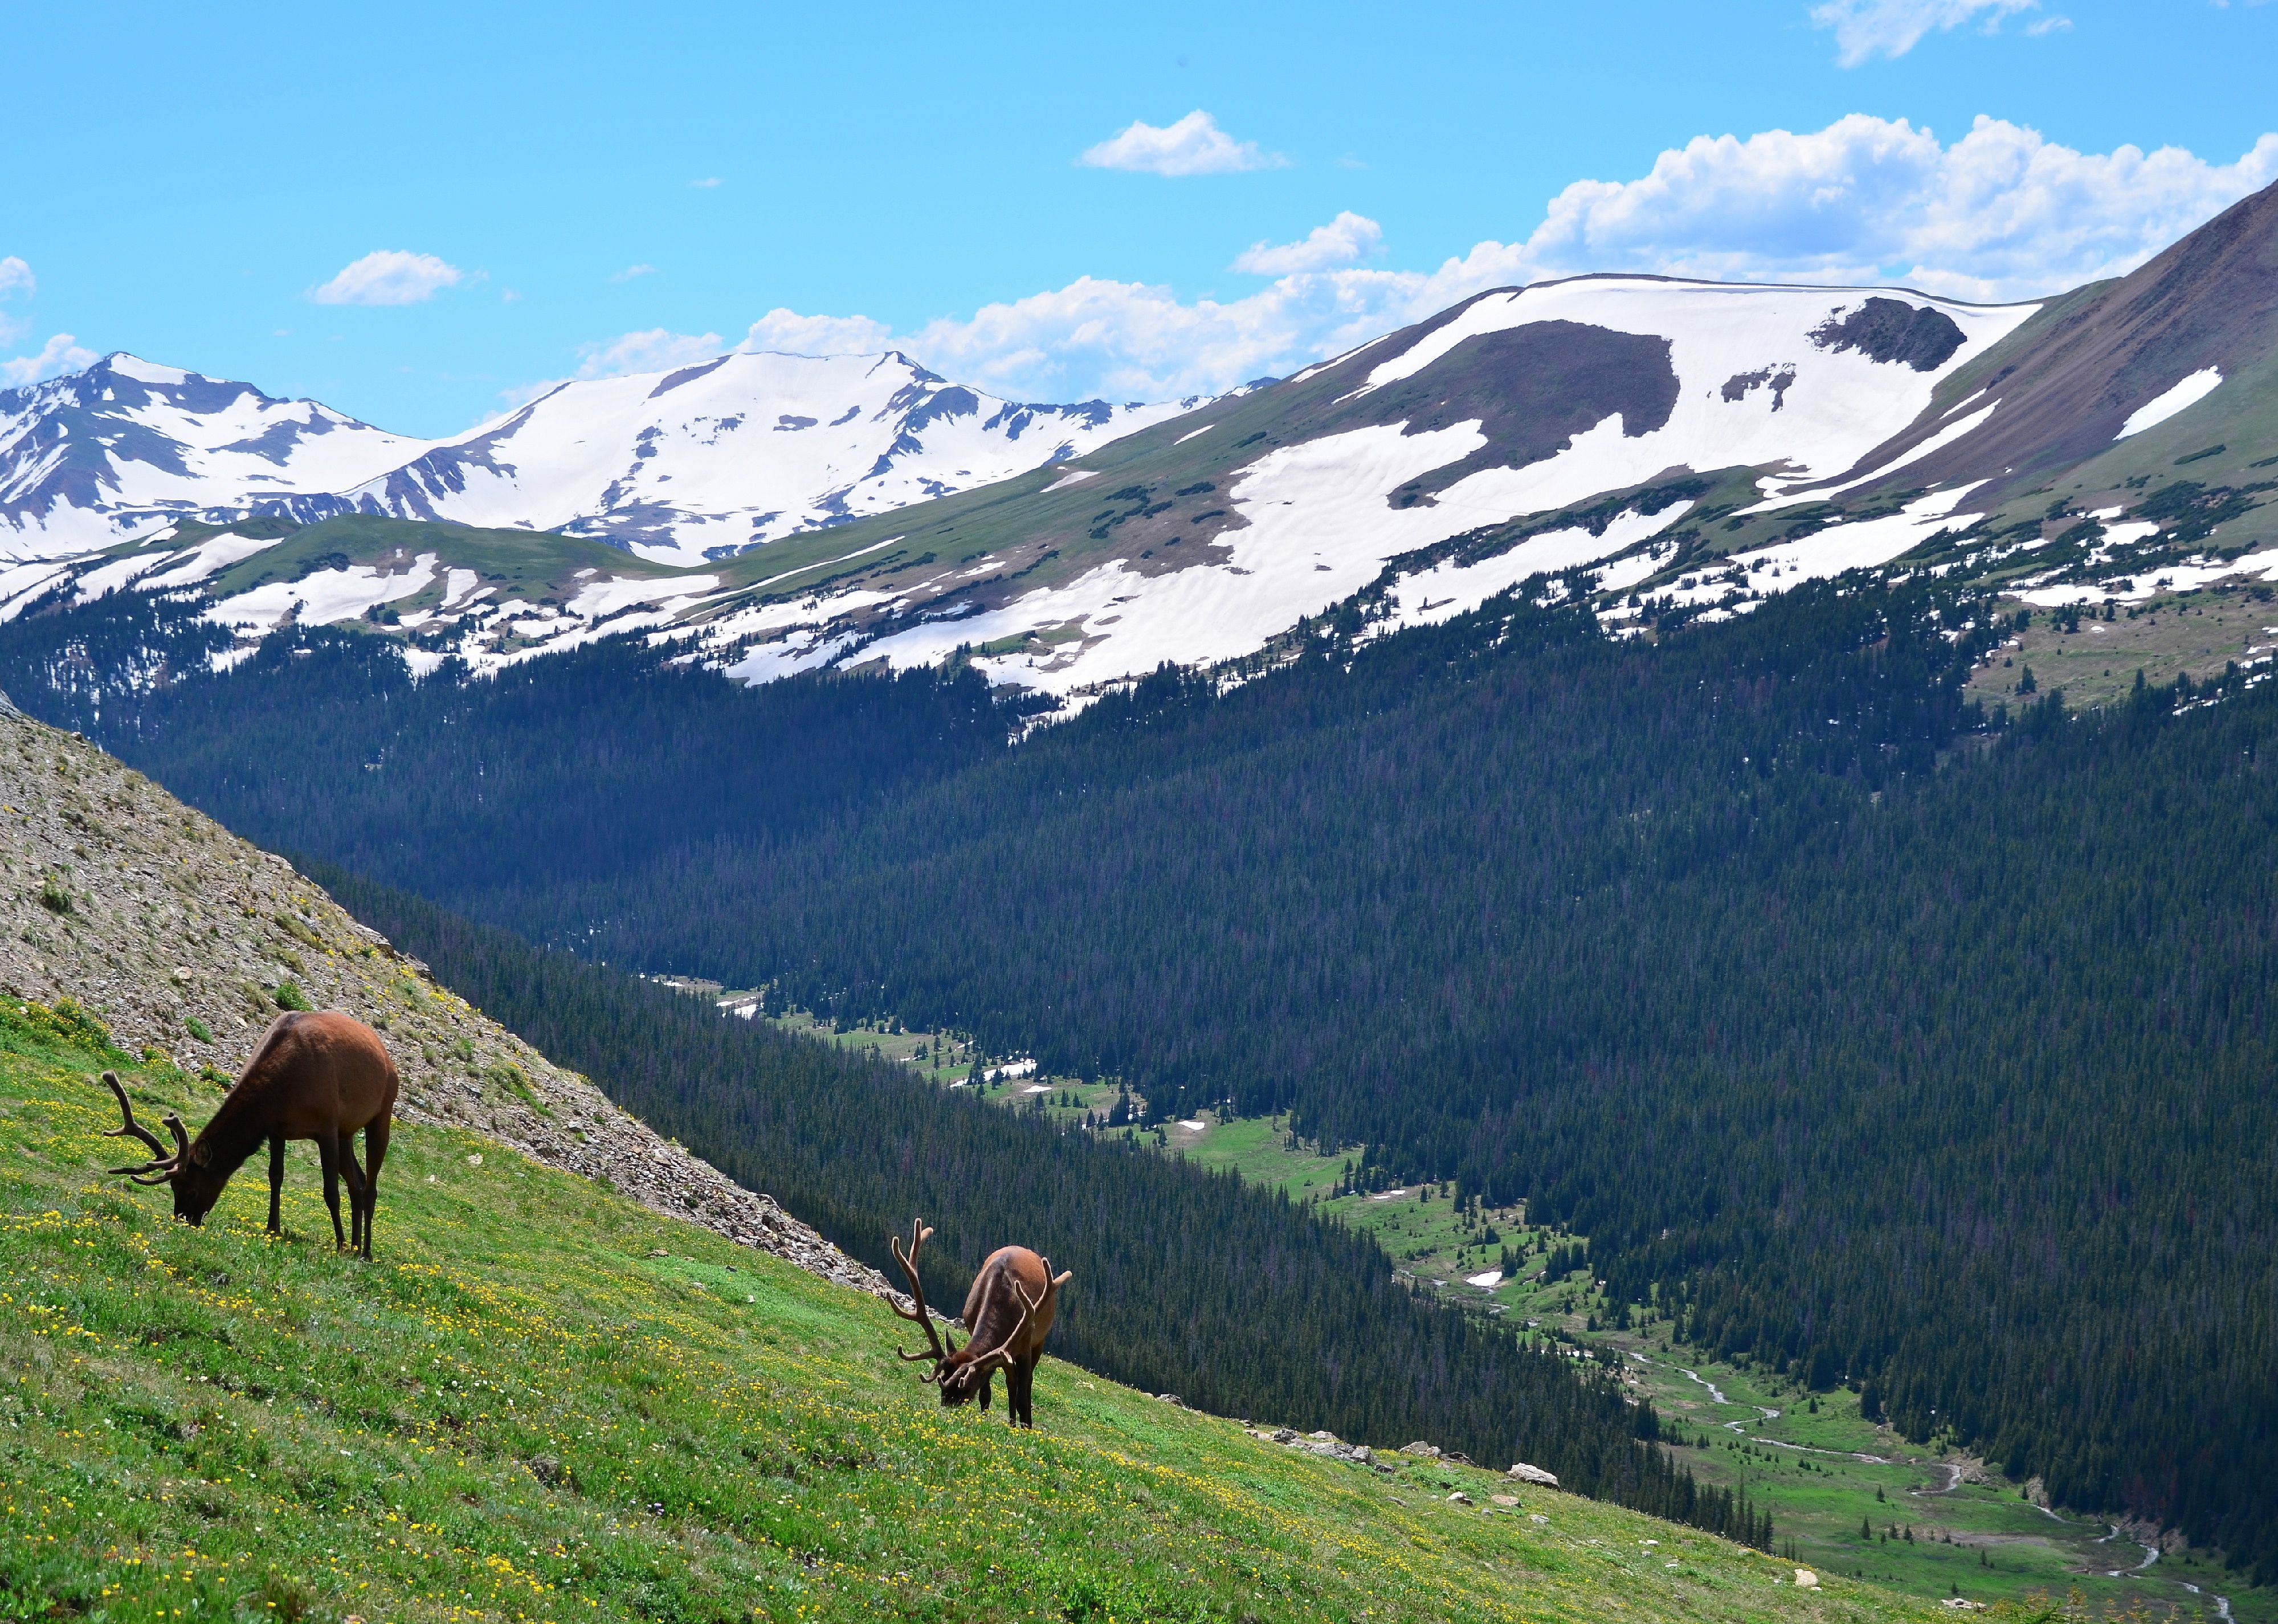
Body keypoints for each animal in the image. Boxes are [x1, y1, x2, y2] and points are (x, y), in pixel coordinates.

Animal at [99, 1009, 398, 1258]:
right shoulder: (278, 1130)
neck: (283, 1091)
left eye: (193, 1190)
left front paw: (340, 1244)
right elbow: (276, 1177)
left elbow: (330, 1192)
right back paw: (357, 1245)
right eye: (174, 1187)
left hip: (381, 1114)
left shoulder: (327, 1126)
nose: (184, 1220)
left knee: (370, 1187)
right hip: (347, 1132)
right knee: (357, 1182)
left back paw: (364, 1252)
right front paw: (272, 1228)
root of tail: (385, 1054)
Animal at [888, 1218, 1072, 1429]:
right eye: (943, 1381)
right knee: (1011, 1382)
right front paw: (984, 1419)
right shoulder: (982, 1336)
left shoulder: (1025, 1342)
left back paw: (1023, 1425)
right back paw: (1012, 1424)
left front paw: (1026, 1430)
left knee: (1025, 1384)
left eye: (965, 1388)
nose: (946, 1405)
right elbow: (986, 1394)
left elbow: (1023, 1399)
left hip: (1039, 1340)